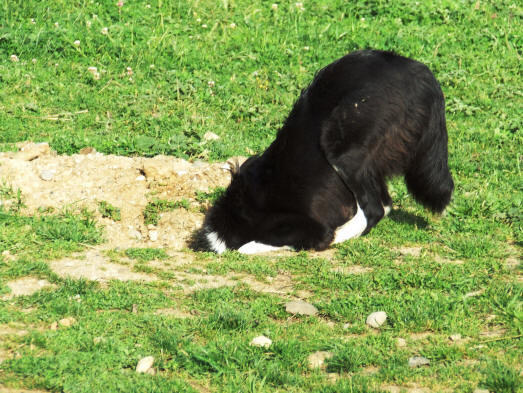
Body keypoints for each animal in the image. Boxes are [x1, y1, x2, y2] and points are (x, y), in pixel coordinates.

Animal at [201, 49, 454, 253]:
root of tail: (422, 74)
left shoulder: (307, 226)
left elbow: (248, 247)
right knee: (384, 204)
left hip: (340, 146)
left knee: (374, 210)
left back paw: (340, 234)